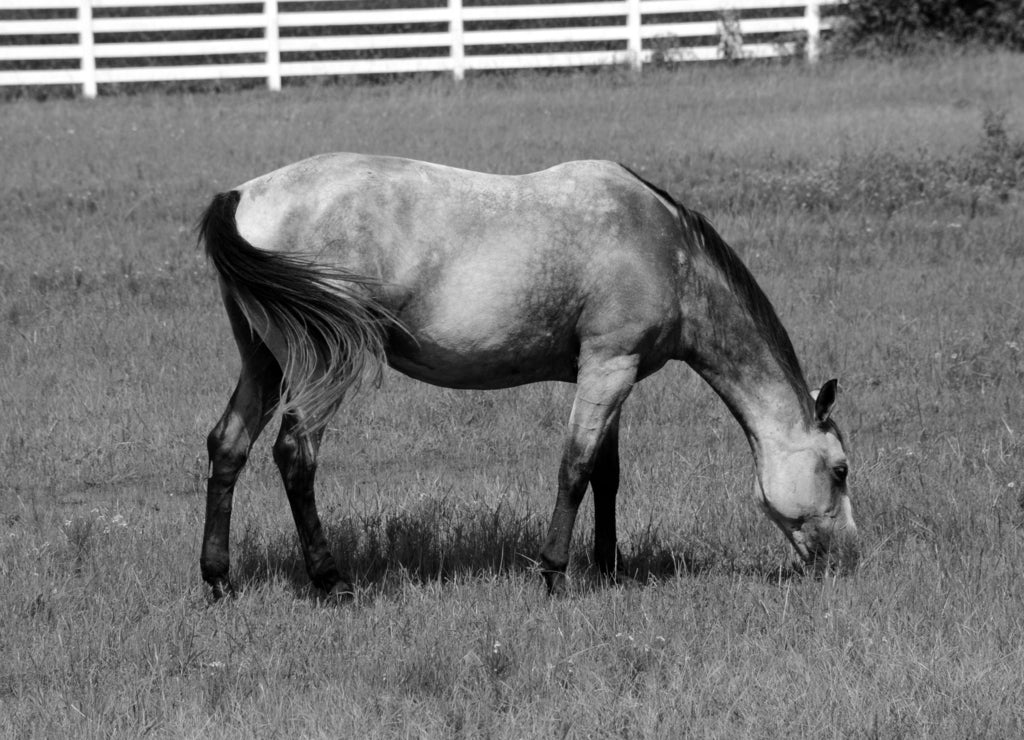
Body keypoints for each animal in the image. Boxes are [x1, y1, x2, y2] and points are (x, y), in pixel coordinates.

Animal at [193, 153, 856, 597]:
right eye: (840, 470)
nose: (849, 555)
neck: (669, 252)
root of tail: (243, 193)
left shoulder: (611, 375)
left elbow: (607, 476)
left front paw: (609, 568)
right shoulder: (609, 367)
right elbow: (575, 469)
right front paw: (555, 574)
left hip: (264, 362)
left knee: (228, 446)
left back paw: (219, 581)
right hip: (321, 367)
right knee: (294, 453)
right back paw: (332, 582)